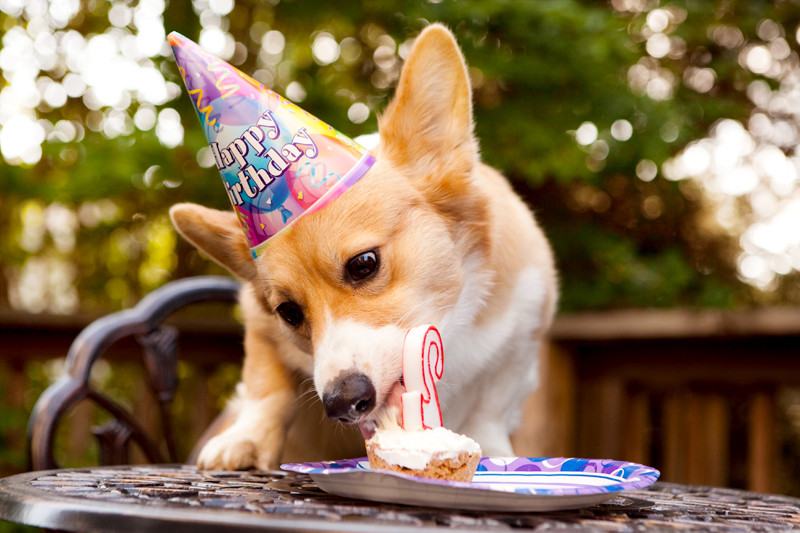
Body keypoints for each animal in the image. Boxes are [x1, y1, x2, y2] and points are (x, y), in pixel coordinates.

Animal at [170, 22, 556, 468]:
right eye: (288, 312)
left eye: (364, 264)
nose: (342, 404)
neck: (450, 322)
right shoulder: (259, 324)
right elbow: (266, 388)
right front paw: (245, 439)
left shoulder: (522, 336)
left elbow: (491, 405)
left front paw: (493, 454)